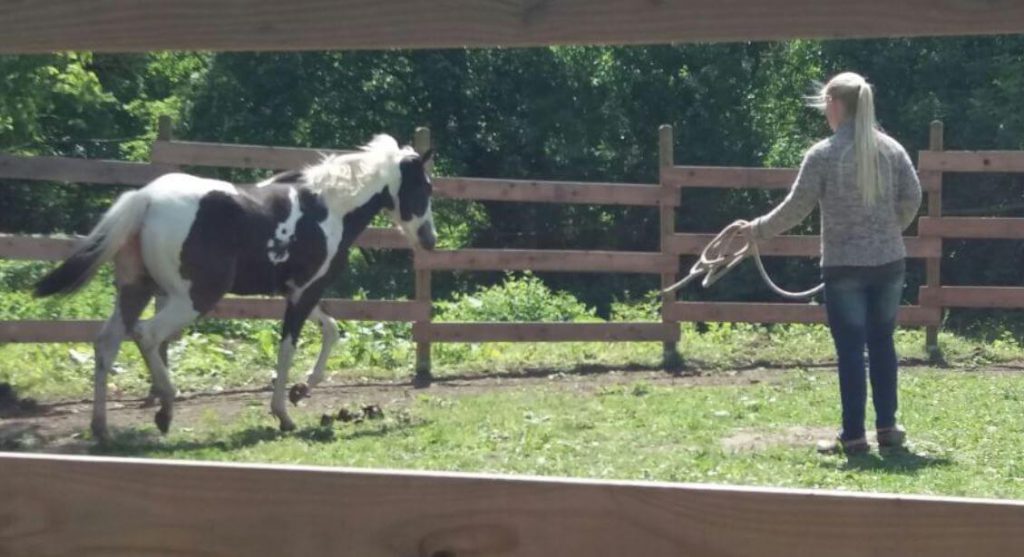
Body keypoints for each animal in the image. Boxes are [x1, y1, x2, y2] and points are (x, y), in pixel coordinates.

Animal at [33, 134, 436, 442]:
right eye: (424, 186)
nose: (430, 240)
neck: (328, 208)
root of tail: (146, 199)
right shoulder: (306, 292)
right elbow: (288, 348)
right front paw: (284, 413)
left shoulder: (299, 290)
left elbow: (332, 330)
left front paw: (302, 389)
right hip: (193, 297)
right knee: (147, 335)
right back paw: (165, 409)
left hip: (136, 290)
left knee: (107, 342)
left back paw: (101, 428)